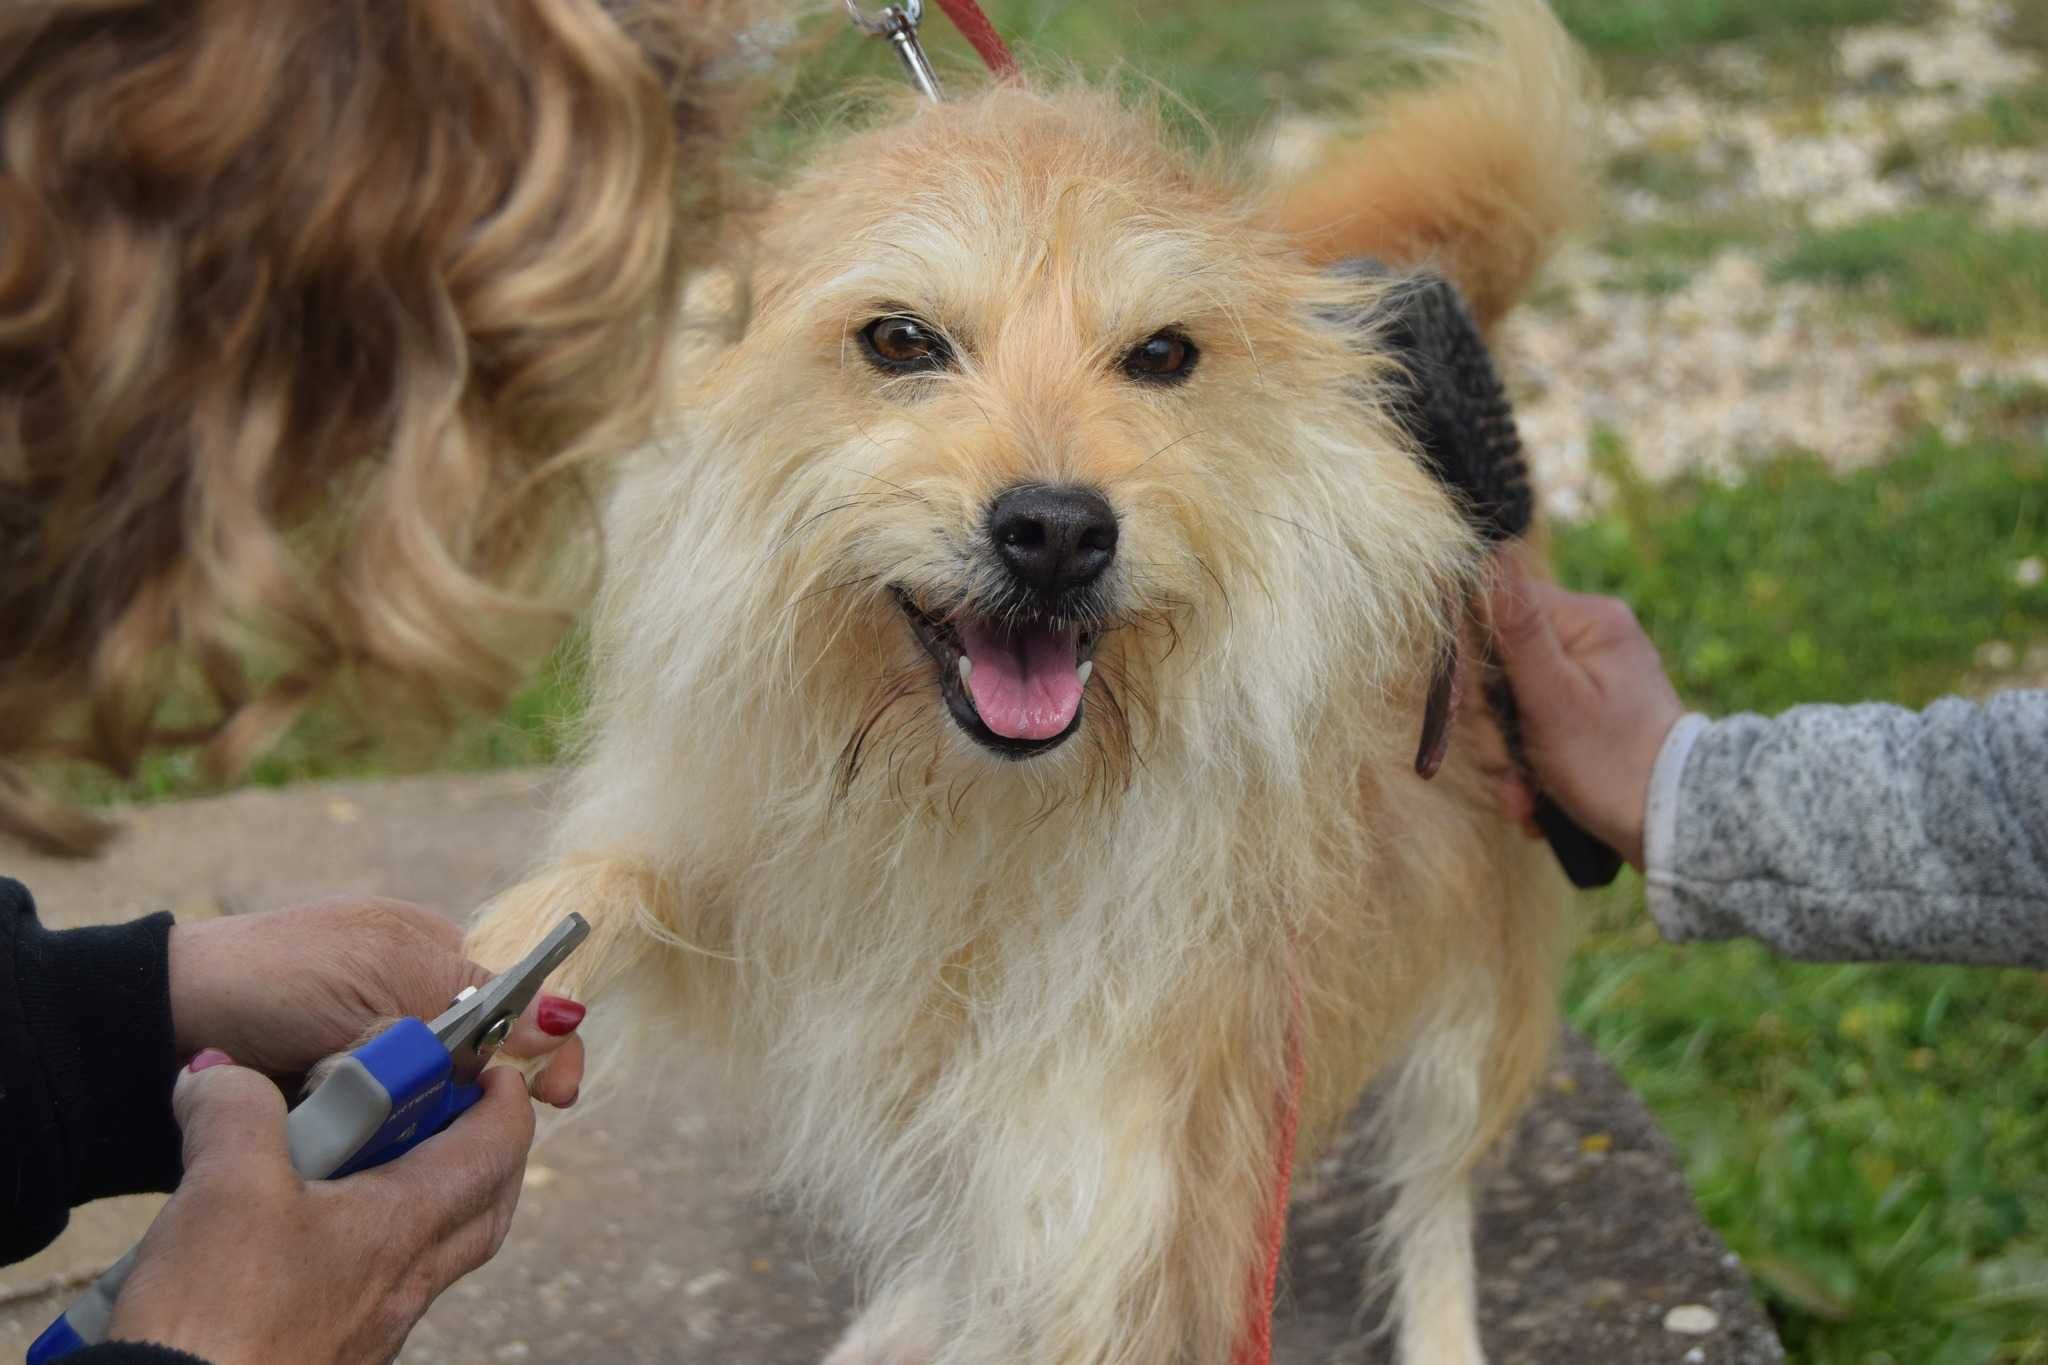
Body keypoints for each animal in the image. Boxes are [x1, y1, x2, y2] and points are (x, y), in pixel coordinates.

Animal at [471, 5, 1589, 1358]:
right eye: (900, 340)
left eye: (1161, 354)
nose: (1056, 531)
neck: (977, 811)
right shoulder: (761, 889)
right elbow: (617, 880)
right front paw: (511, 966)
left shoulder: (1107, 1185)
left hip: (1471, 977)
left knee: (1430, 1197)